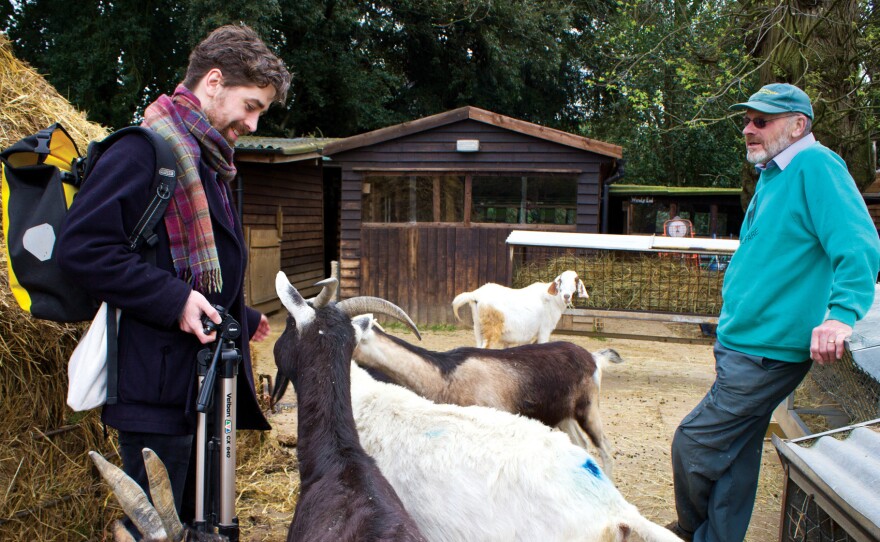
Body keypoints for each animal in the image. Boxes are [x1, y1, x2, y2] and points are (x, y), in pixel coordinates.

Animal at [354, 324, 624, 480]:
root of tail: (593, 357)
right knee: (581, 444)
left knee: (605, 447)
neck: (446, 374)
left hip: (588, 408)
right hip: (563, 416)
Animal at [450, 270, 588, 350]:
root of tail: (476, 294)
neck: (552, 299)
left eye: (575, 281)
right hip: (491, 330)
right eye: (560, 281)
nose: (566, 296)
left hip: (478, 328)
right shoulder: (544, 330)